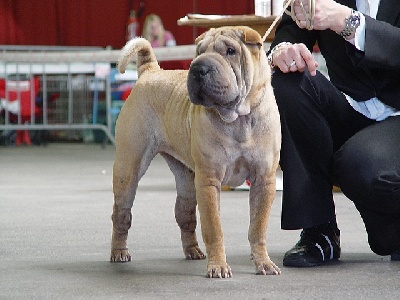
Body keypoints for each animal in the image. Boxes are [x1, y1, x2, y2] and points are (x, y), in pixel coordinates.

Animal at [109, 27, 282, 278]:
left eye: (230, 51)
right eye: (199, 52)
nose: (198, 68)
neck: (238, 118)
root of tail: (150, 71)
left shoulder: (264, 179)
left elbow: (258, 227)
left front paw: (264, 263)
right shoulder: (209, 180)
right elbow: (214, 227)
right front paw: (218, 266)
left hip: (187, 180)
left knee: (185, 215)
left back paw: (192, 250)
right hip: (128, 170)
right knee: (121, 214)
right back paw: (119, 252)